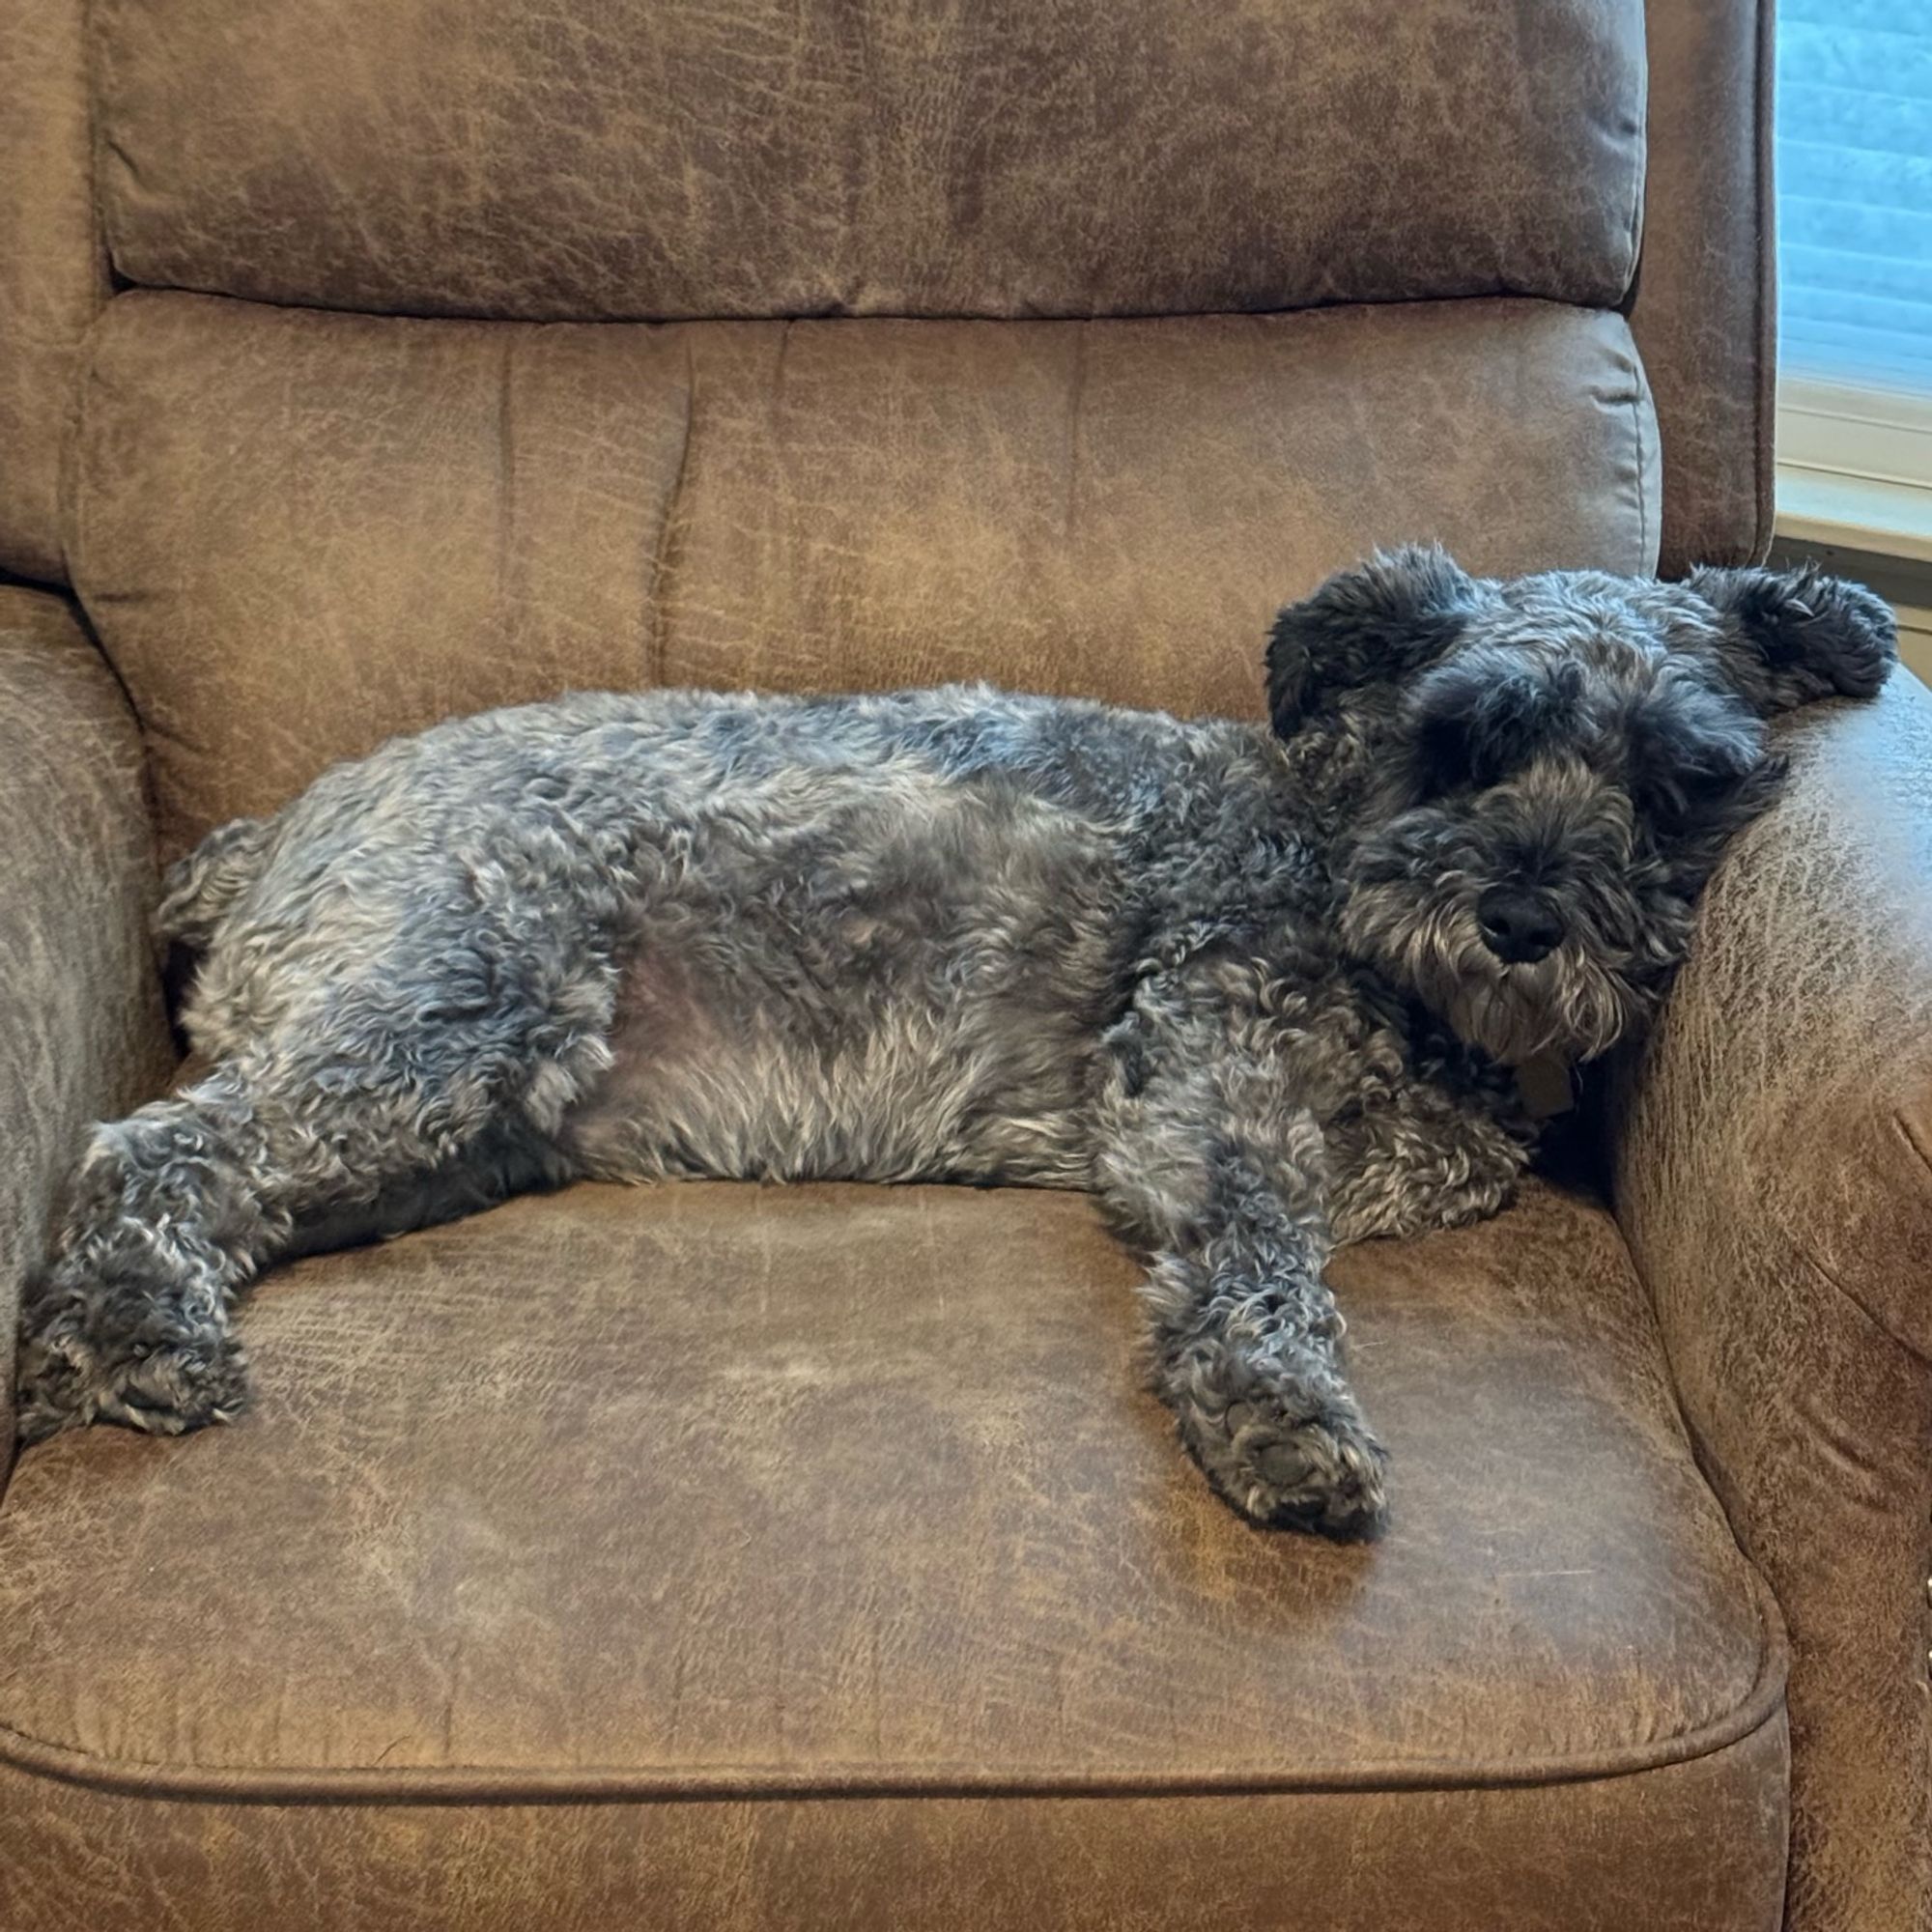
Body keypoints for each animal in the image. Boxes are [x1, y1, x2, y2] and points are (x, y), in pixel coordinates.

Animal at [11, 553, 1886, 1530]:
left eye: (1681, 778)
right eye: (1465, 736)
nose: (1522, 921)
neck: (1327, 846)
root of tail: (270, 830)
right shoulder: (1204, 1090)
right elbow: (1261, 1254)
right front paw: (1280, 1417)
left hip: (460, 1118)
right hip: (446, 1016)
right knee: (151, 1149)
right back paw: (129, 1339)